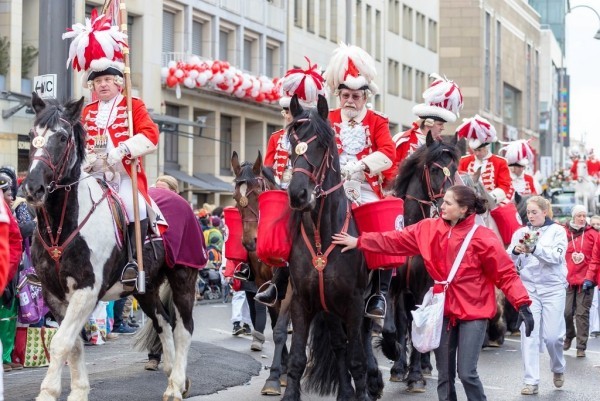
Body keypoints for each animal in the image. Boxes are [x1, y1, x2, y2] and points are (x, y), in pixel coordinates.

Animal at [25, 94, 197, 400]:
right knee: (164, 323)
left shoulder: (87, 290)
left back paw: (175, 386)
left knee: (183, 328)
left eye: (62, 137)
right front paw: (78, 390)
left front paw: (48, 392)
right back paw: (173, 375)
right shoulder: (54, 293)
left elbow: (61, 342)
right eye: (33, 134)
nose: (33, 188)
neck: (62, 228)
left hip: (183, 277)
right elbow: (73, 343)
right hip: (145, 287)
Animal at [282, 94, 384, 400]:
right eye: (291, 144)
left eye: (323, 145)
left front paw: (363, 390)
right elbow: (297, 359)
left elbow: (357, 358)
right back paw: (346, 391)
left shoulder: (354, 303)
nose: (298, 194)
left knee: (362, 340)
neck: (321, 236)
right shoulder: (302, 302)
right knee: (339, 345)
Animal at [380, 132, 460, 390]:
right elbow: (392, 326)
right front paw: (394, 354)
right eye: (434, 169)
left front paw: (415, 375)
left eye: (454, 169)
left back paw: (423, 366)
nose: (447, 205)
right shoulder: (393, 286)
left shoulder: (422, 286)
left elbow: (418, 326)